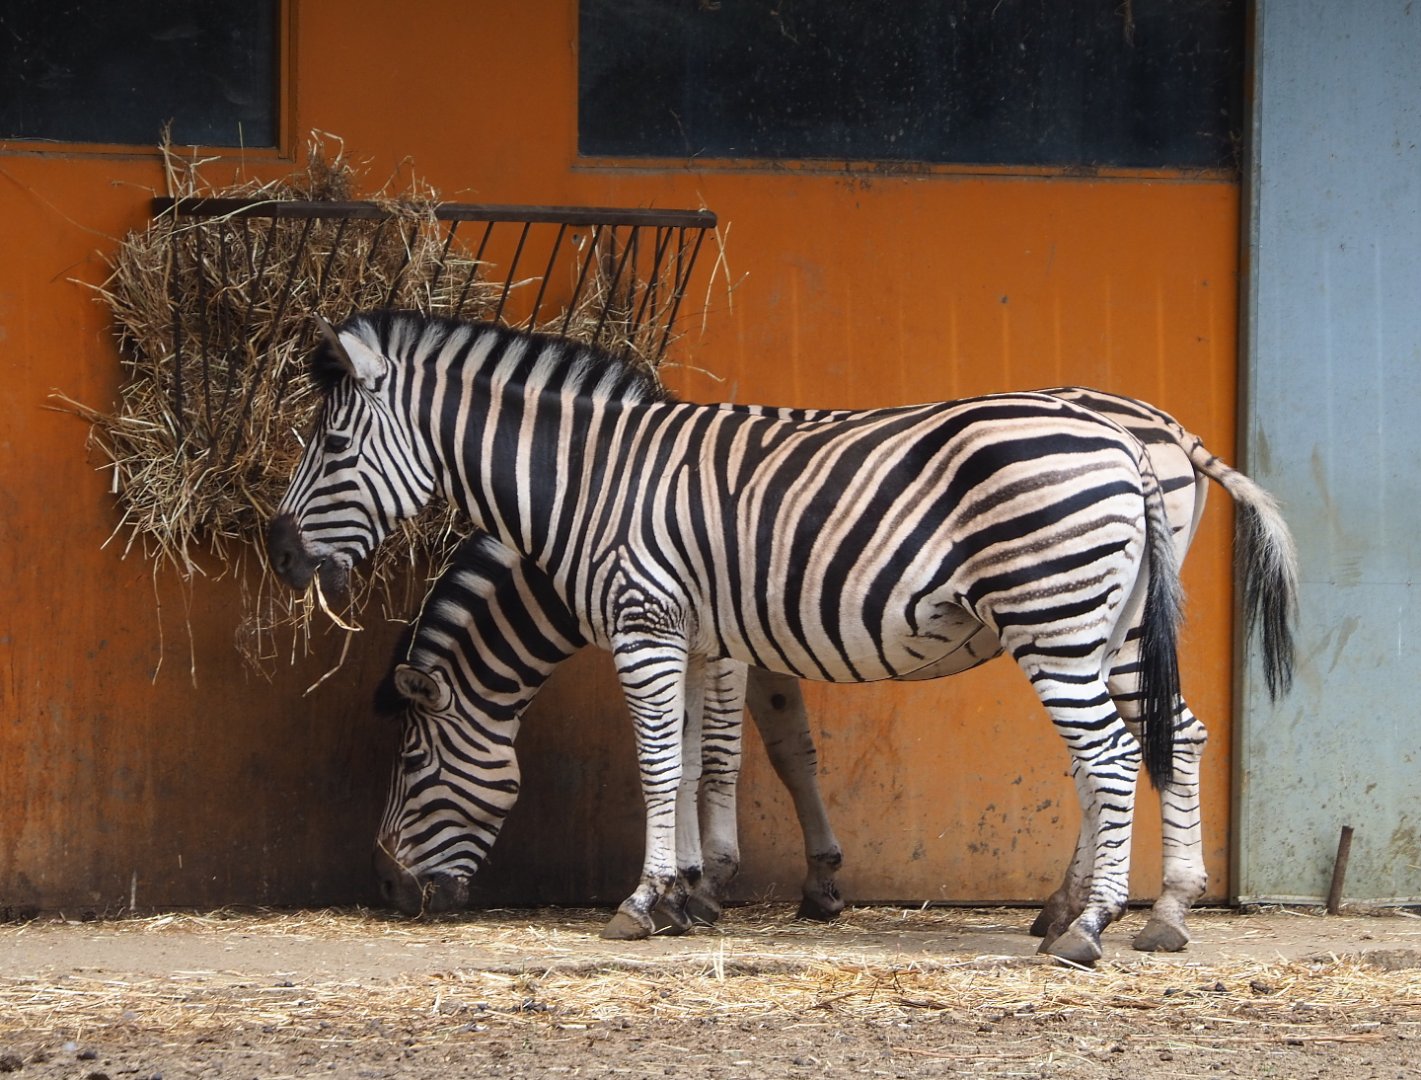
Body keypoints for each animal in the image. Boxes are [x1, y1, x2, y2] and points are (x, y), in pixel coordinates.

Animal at [269, 311, 1296, 965]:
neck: (591, 483)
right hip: (1110, 628)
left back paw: (1087, 928)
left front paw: (658, 899)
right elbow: (705, 760)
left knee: (1113, 757)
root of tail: (1141, 435)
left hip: (1059, 618)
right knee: (1164, 740)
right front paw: (692, 893)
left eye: (412, 762)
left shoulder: (660, 626)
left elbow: (683, 764)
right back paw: (1151, 914)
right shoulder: (692, 634)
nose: (389, 892)